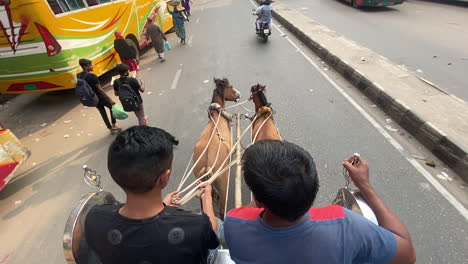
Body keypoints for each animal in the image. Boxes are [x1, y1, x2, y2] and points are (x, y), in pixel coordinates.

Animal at [192, 77, 239, 218]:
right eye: (230, 86)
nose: (238, 94)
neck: (217, 115)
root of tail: (207, 163)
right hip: (223, 184)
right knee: (222, 209)